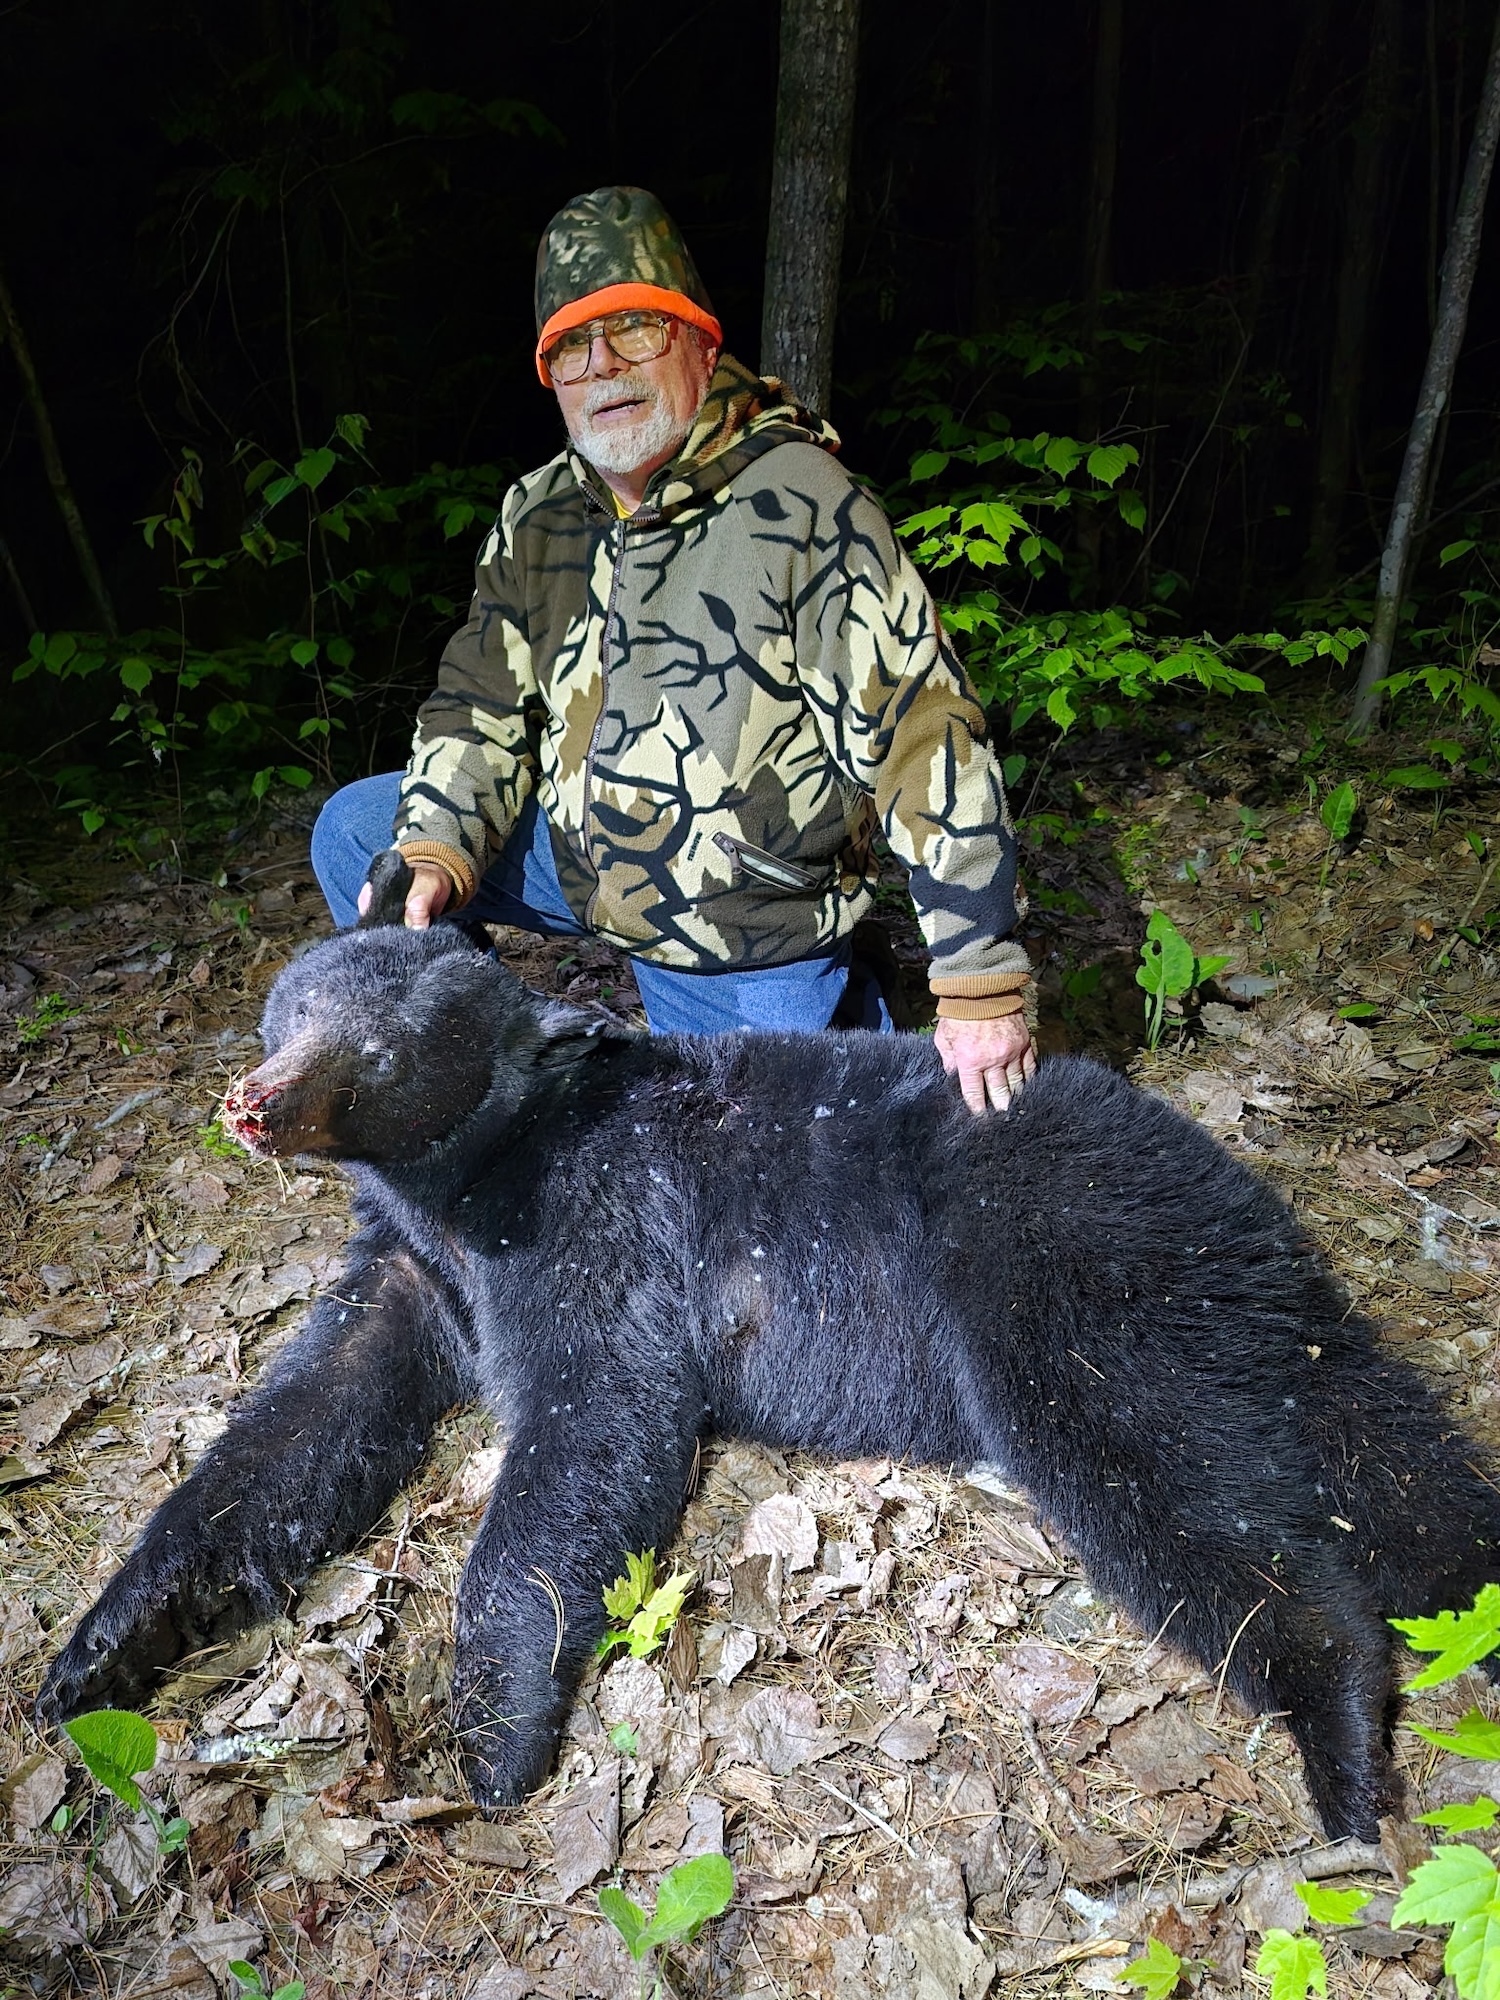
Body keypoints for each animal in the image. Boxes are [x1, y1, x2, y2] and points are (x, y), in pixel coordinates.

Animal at [37, 852, 1500, 1841]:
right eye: (290, 1013)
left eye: (385, 1047)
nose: (259, 1099)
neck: (469, 1184)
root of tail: (1231, 1200)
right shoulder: (407, 1270)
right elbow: (295, 1434)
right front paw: (102, 1646)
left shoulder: (599, 1228)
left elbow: (592, 1431)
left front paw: (493, 1734)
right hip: (1262, 1327)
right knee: (1394, 1462)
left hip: (1059, 1280)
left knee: (1170, 1483)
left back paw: (1341, 1743)